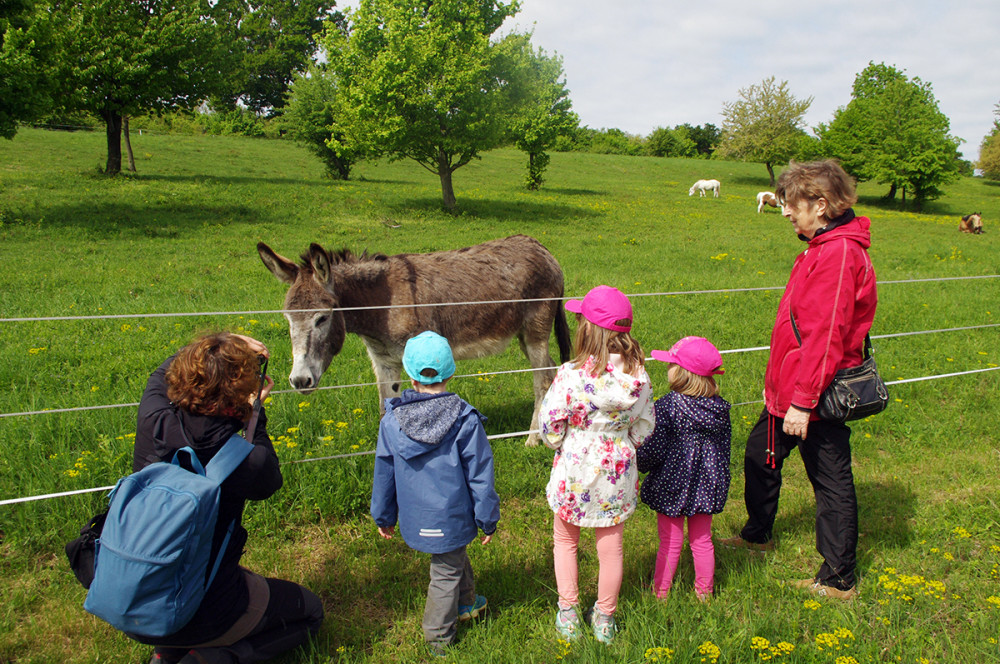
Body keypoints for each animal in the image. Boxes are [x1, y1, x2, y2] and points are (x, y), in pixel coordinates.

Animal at [258, 233, 572, 446]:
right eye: (287, 319)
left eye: (322, 318)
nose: (300, 381)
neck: (381, 302)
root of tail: (542, 248)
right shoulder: (383, 361)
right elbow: (386, 405)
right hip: (522, 335)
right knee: (550, 369)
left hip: (535, 330)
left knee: (542, 377)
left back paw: (534, 439)